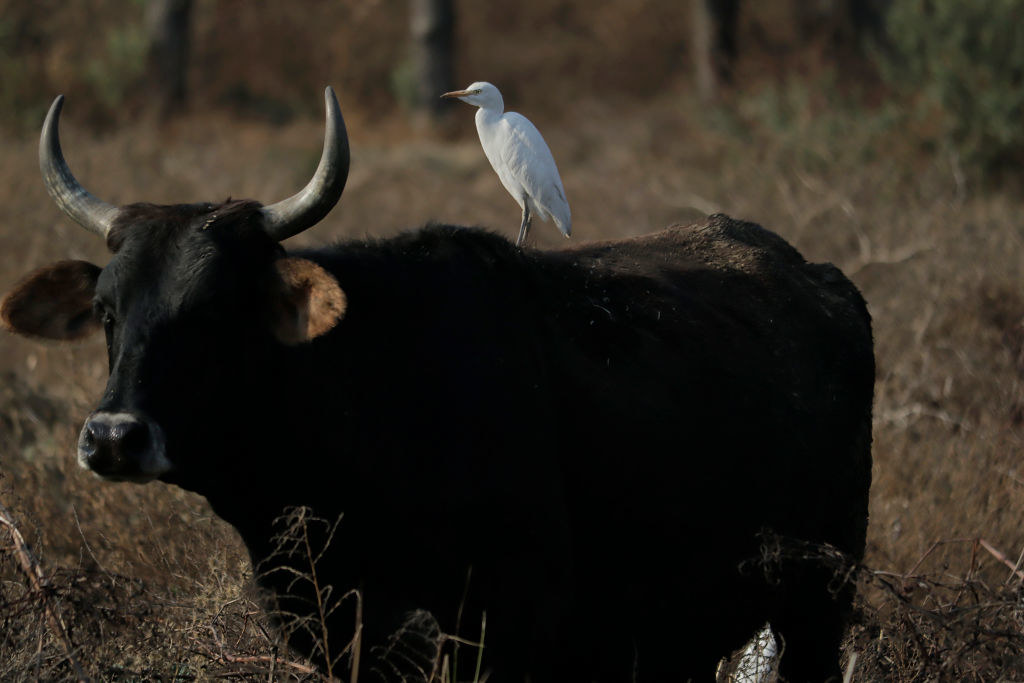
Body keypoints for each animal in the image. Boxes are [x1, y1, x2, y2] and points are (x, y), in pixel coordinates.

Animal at [4, 92, 876, 683]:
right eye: (108, 310)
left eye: (216, 308)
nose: (114, 436)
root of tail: (818, 275)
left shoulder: (513, 623)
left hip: (820, 604)